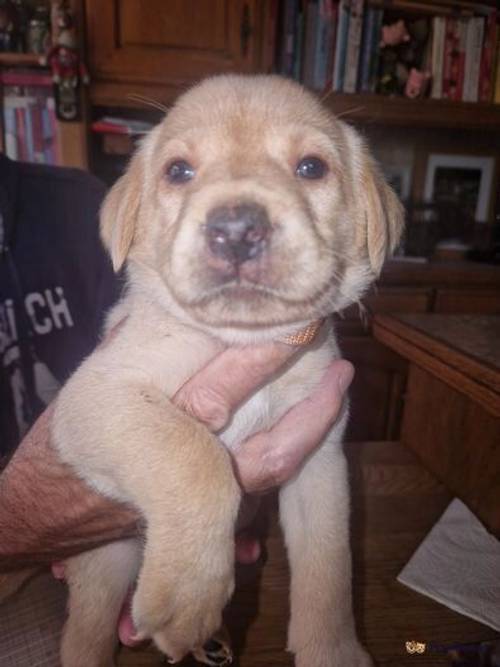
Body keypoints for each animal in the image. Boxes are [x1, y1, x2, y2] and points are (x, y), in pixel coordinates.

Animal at [17, 75, 404, 664]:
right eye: (179, 171)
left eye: (312, 167)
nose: (237, 228)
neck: (243, 337)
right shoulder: (96, 395)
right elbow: (193, 456)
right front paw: (187, 595)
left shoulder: (320, 461)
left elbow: (330, 568)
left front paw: (333, 649)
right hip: (108, 563)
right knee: (83, 637)